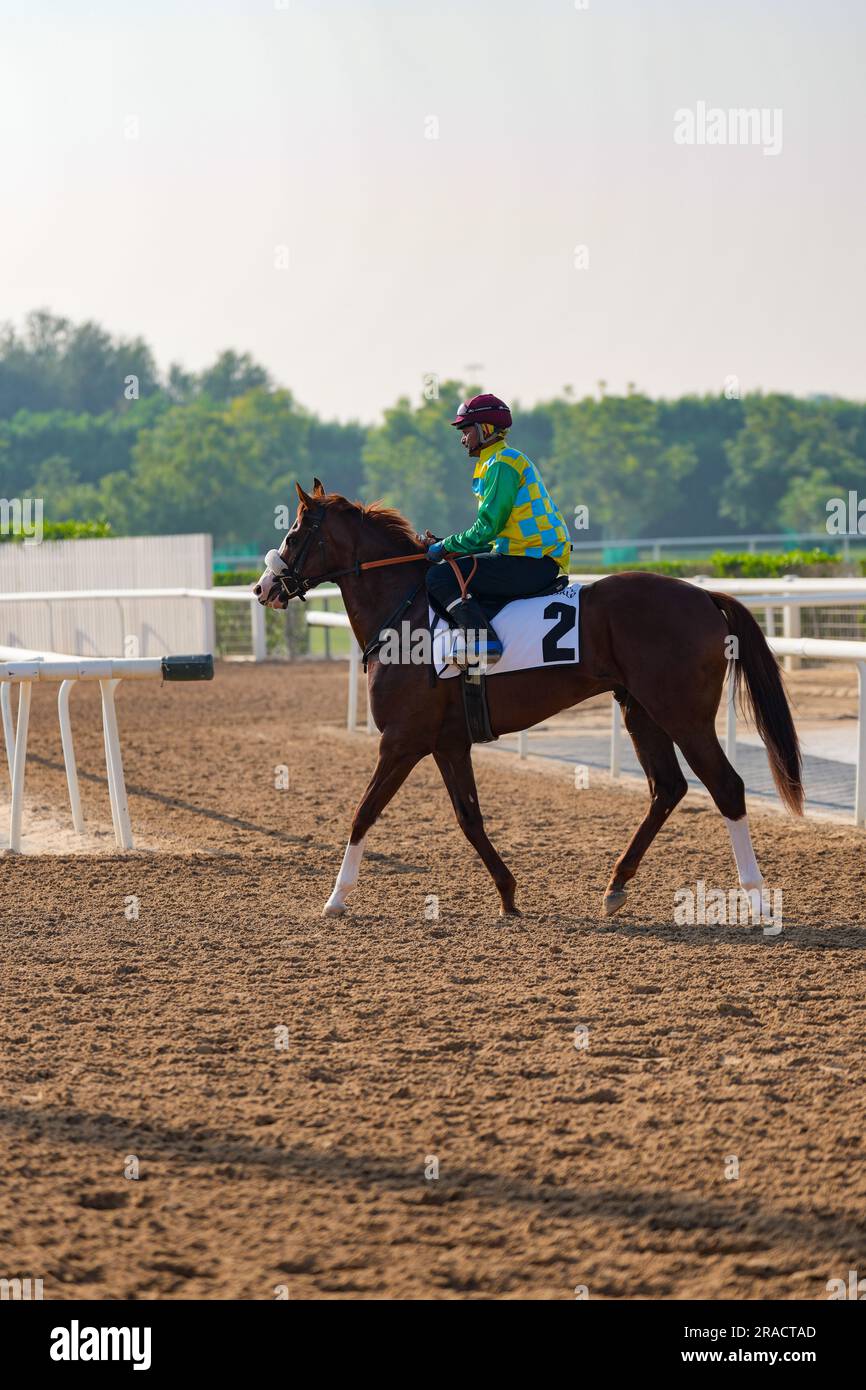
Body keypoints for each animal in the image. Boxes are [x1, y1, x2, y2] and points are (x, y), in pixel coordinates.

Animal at [254, 483, 800, 917]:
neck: (405, 615)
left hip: (683, 715)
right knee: (667, 789)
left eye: (295, 533)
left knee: (726, 786)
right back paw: (615, 886)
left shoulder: (401, 741)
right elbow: (469, 818)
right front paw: (508, 892)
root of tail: (706, 596)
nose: (263, 587)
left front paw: (336, 898)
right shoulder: (447, 744)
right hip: (640, 711)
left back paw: (755, 898)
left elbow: (363, 812)